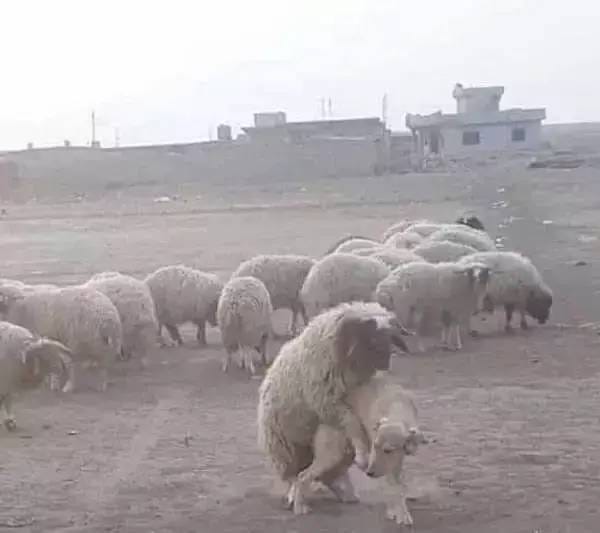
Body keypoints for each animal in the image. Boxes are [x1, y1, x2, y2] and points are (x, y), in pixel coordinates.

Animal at [255, 304, 410, 516]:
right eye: (371, 337)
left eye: (390, 337)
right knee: (295, 474)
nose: (386, 363)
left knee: (327, 473)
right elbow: (352, 422)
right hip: (286, 447)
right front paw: (363, 456)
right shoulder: (328, 403)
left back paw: (344, 491)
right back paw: (295, 496)